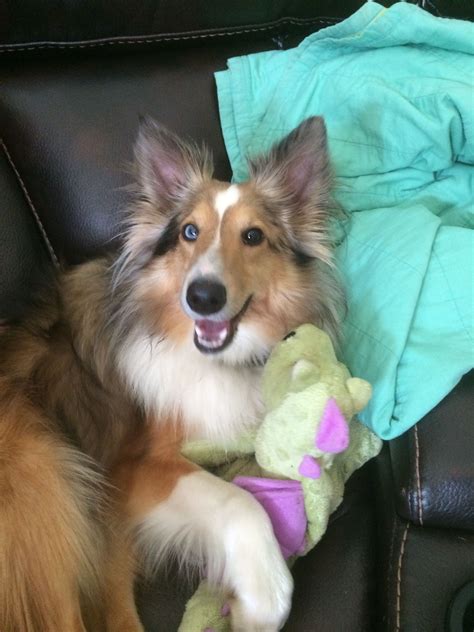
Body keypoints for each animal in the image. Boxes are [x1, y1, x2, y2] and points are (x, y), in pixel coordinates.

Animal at [0, 116, 342, 628]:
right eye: (189, 232)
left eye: (253, 236)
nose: (202, 297)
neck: (204, 355)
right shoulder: (131, 468)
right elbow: (240, 501)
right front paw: (264, 597)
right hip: (48, 481)